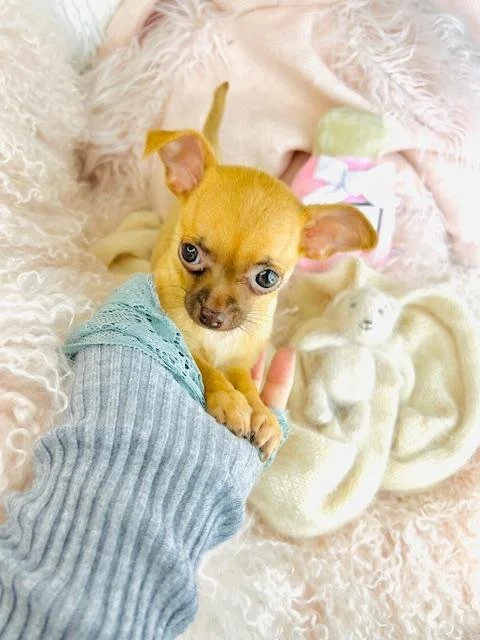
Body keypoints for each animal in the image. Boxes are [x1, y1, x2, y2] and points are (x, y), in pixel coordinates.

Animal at [145, 83, 377, 458]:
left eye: (267, 278)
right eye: (189, 253)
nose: (212, 316)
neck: (219, 341)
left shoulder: (240, 361)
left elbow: (247, 385)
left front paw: (262, 414)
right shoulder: (184, 340)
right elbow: (206, 367)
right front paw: (230, 402)